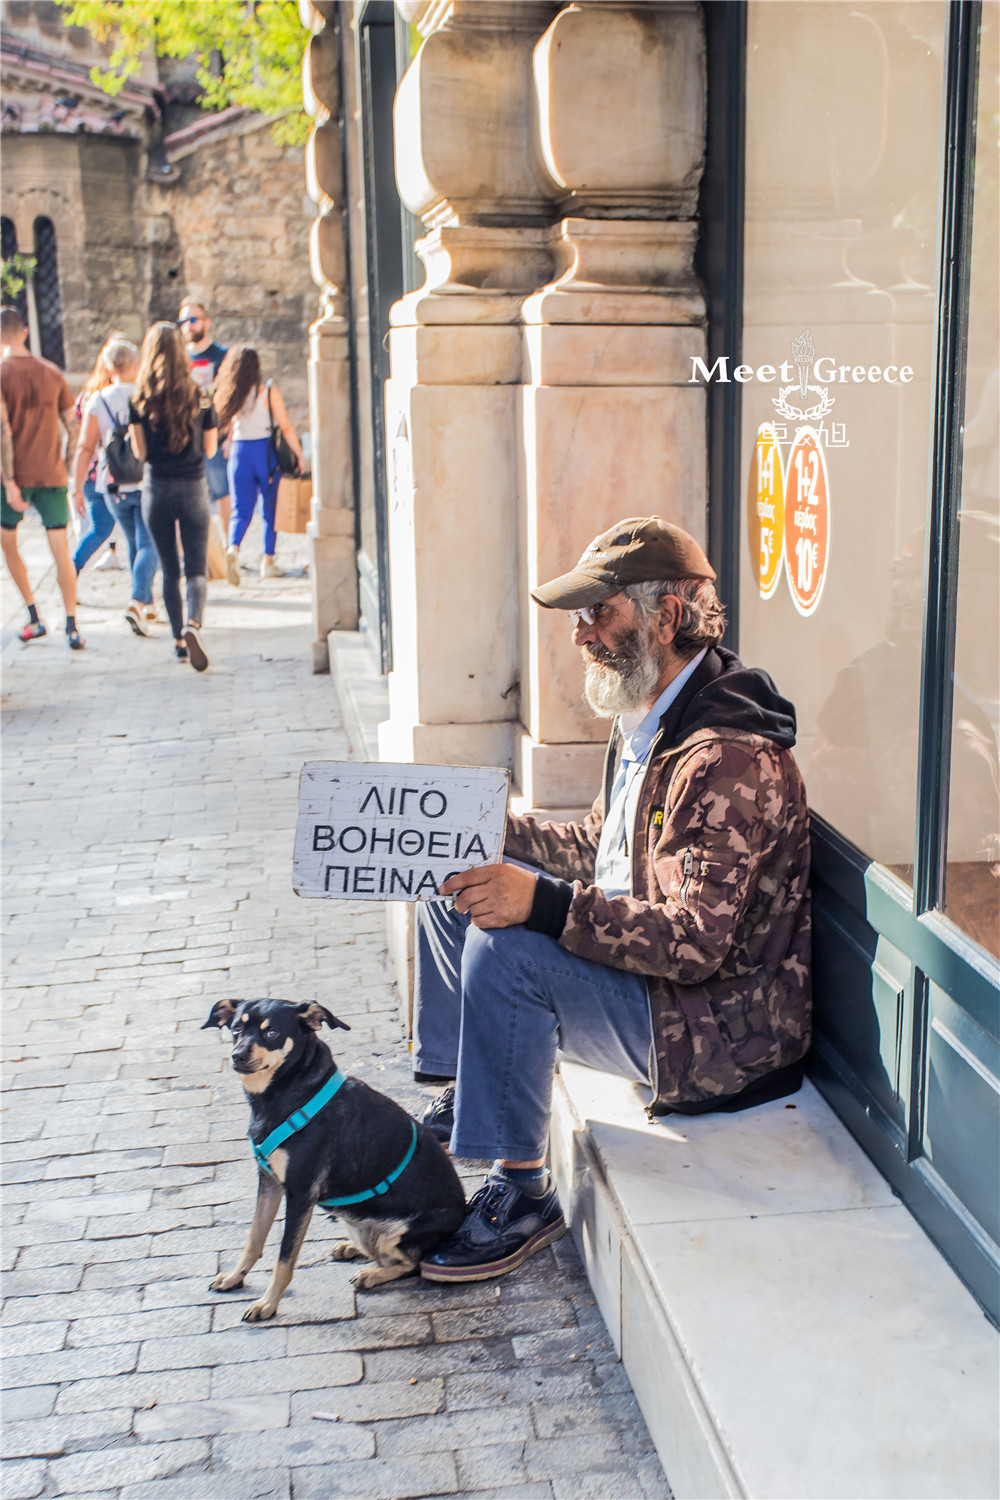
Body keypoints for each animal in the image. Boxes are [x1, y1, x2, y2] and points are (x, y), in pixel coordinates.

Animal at [206, 1002, 470, 1320]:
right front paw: (235, 1277)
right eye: (236, 1028)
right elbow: (253, 1239)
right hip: (357, 1222)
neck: (287, 1094)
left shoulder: (300, 1194)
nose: (238, 1055)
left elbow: (285, 1257)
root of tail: (464, 1213)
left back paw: (371, 1274)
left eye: (272, 1032)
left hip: (399, 1233)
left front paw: (268, 1303)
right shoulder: (268, 1182)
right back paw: (350, 1248)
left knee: (411, 1263)